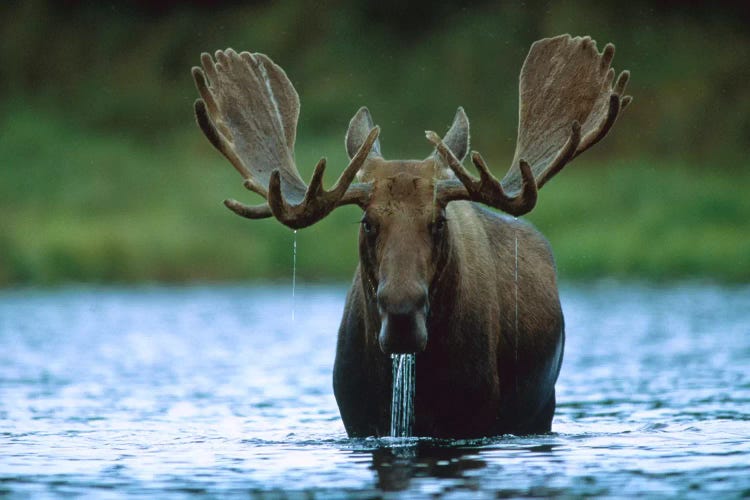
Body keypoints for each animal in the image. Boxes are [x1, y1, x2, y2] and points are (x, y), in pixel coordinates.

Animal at [191, 34, 632, 438]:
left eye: (438, 222)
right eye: (367, 222)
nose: (402, 313)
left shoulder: (476, 414)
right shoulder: (358, 417)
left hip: (544, 407)